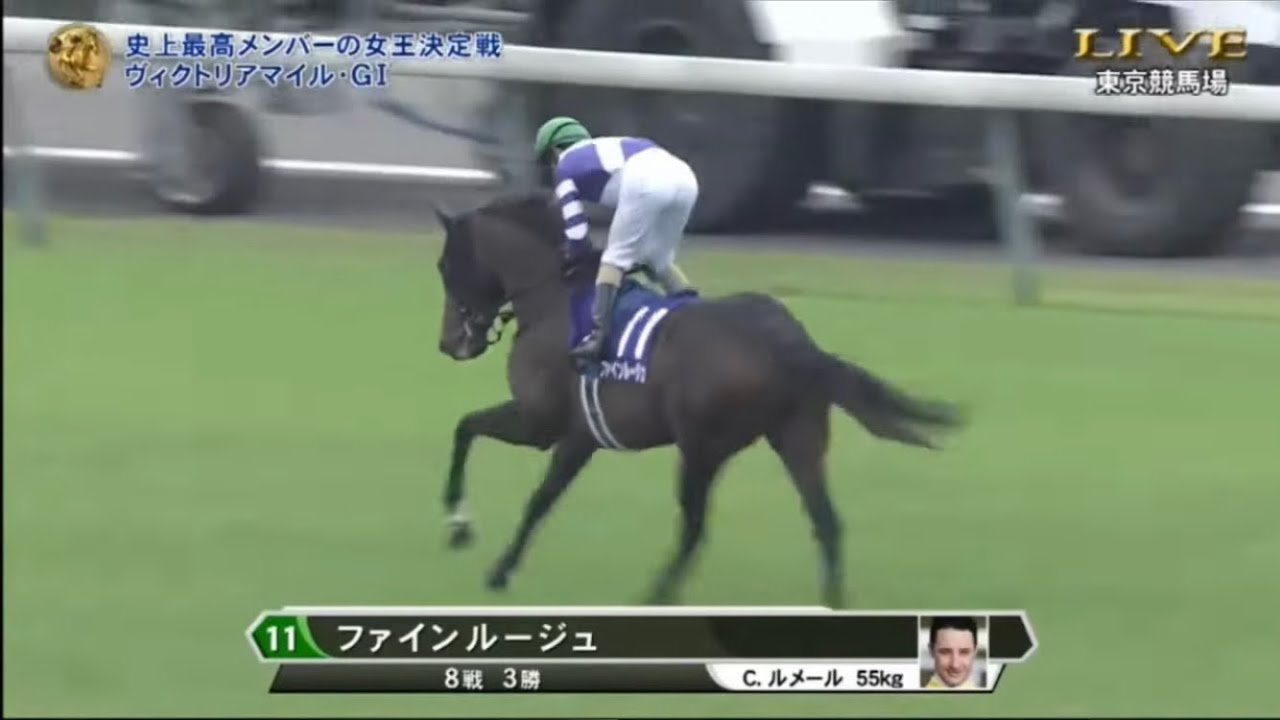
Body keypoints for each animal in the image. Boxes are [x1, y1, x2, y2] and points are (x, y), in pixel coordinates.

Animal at [433, 192, 964, 608]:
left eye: (443, 266)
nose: (449, 343)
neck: (555, 301)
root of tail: (795, 345)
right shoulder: (579, 437)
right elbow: (517, 476)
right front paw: (482, 549)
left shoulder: (544, 426)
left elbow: (487, 450)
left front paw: (472, 540)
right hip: (797, 438)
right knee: (826, 520)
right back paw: (832, 601)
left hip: (702, 449)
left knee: (694, 527)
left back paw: (655, 596)